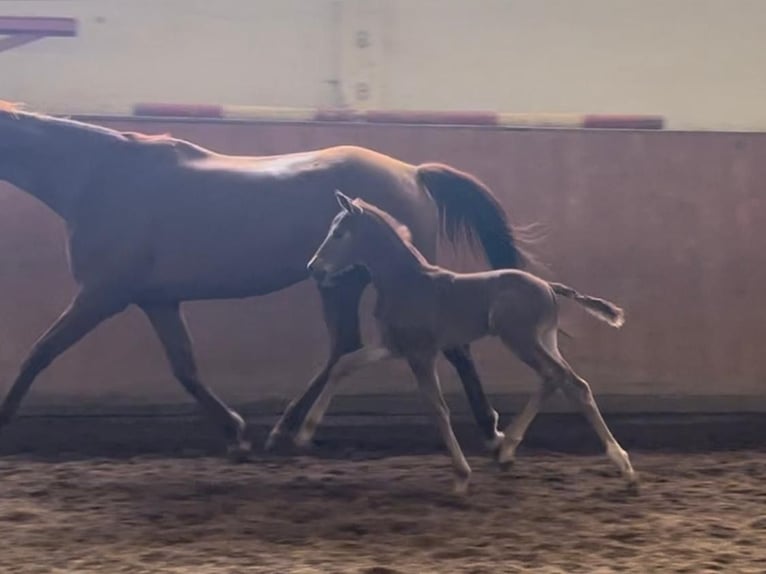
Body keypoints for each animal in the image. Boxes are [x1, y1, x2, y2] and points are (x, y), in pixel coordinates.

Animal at [0, 102, 530, 457]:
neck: (98, 178)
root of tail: (414, 173)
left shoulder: (101, 295)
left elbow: (38, 354)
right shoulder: (156, 300)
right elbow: (185, 368)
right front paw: (235, 434)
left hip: (376, 281)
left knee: (433, 344)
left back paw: (490, 432)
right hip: (339, 281)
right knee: (345, 345)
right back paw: (287, 429)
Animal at [302, 191, 637, 494]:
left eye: (339, 233)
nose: (313, 267)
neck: (406, 281)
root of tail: (548, 287)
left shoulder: (421, 353)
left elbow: (437, 407)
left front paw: (462, 475)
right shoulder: (393, 345)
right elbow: (344, 364)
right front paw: (305, 433)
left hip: (522, 340)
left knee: (572, 383)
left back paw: (623, 465)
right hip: (545, 340)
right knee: (554, 379)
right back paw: (508, 450)